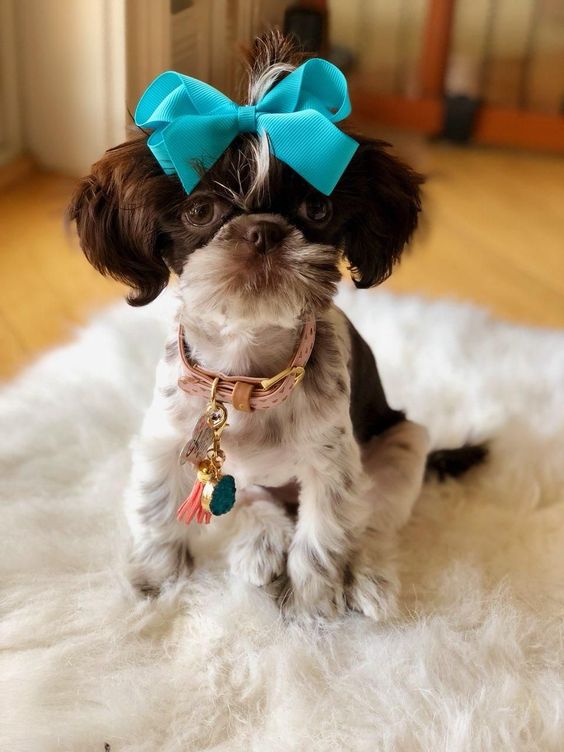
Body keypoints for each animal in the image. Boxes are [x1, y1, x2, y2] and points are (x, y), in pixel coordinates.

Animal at [69, 32, 484, 620]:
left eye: (317, 208)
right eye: (199, 210)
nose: (263, 230)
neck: (244, 372)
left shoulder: (331, 464)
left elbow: (322, 537)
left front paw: (311, 606)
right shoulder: (164, 437)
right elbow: (155, 509)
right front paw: (154, 580)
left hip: (404, 443)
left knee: (372, 524)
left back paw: (368, 579)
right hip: (242, 478)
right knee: (253, 503)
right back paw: (259, 546)